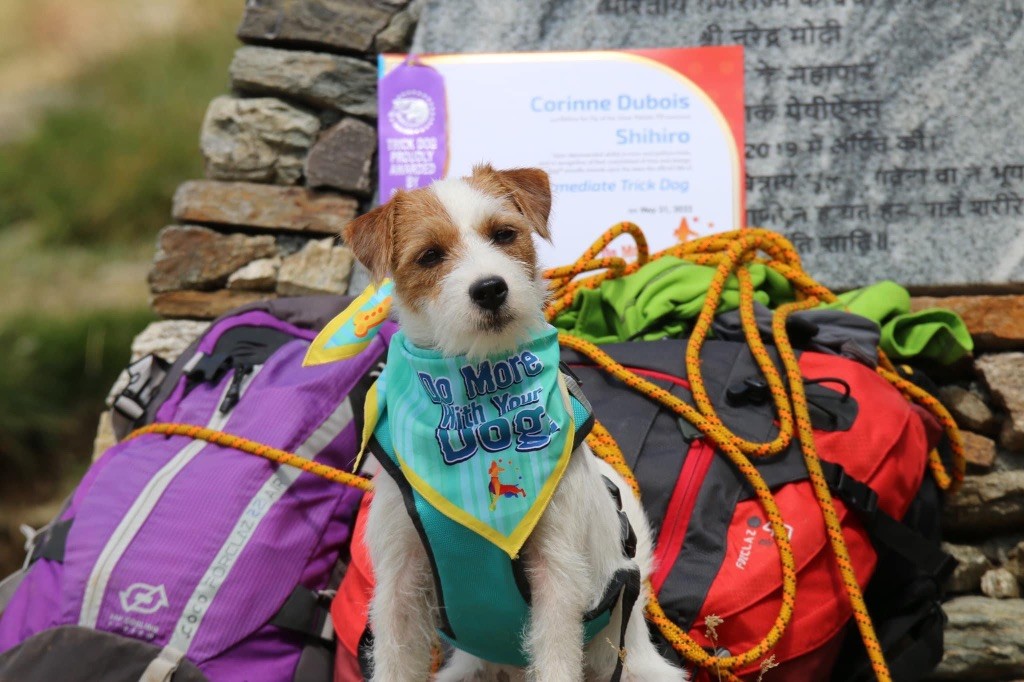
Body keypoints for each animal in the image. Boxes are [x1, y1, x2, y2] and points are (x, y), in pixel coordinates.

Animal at [344, 165, 688, 679]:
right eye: (430, 255)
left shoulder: (556, 576)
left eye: (504, 234)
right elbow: (395, 661)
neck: (479, 394)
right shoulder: (400, 582)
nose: (490, 288)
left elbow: (556, 659)